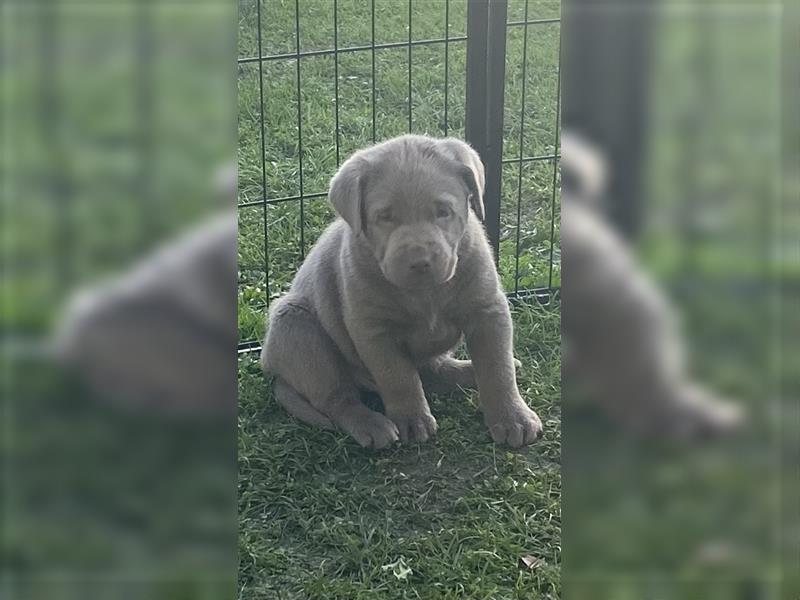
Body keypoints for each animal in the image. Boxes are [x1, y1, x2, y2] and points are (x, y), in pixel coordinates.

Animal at [262, 134, 544, 448]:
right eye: (385, 216)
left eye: (443, 212)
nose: (419, 261)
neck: (426, 294)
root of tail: (277, 374)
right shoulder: (373, 330)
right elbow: (398, 377)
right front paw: (412, 420)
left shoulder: (488, 310)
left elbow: (498, 368)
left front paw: (513, 418)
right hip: (296, 325)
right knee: (338, 398)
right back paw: (372, 425)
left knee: (435, 371)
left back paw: (470, 371)